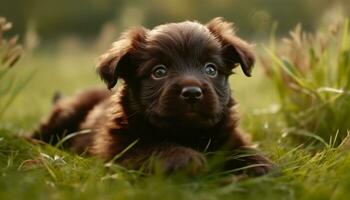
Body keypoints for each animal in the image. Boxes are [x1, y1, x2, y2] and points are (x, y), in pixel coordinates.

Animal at [32, 18, 274, 176]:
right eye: (159, 72)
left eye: (211, 69)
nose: (192, 93)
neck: (186, 133)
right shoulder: (118, 149)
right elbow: (152, 147)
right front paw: (183, 157)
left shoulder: (230, 135)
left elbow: (241, 150)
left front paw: (259, 164)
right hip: (66, 113)